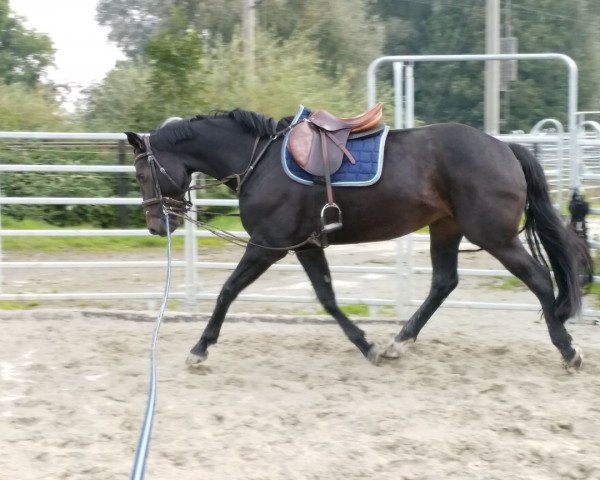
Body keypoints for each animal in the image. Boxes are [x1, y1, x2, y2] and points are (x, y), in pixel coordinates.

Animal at [125, 109, 592, 370]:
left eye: (142, 173)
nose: (155, 226)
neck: (259, 159)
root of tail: (504, 148)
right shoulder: (305, 245)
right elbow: (328, 299)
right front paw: (367, 345)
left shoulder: (267, 243)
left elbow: (227, 290)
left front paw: (200, 349)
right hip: (446, 228)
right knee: (444, 283)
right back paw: (399, 343)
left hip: (493, 235)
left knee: (538, 279)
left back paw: (568, 349)